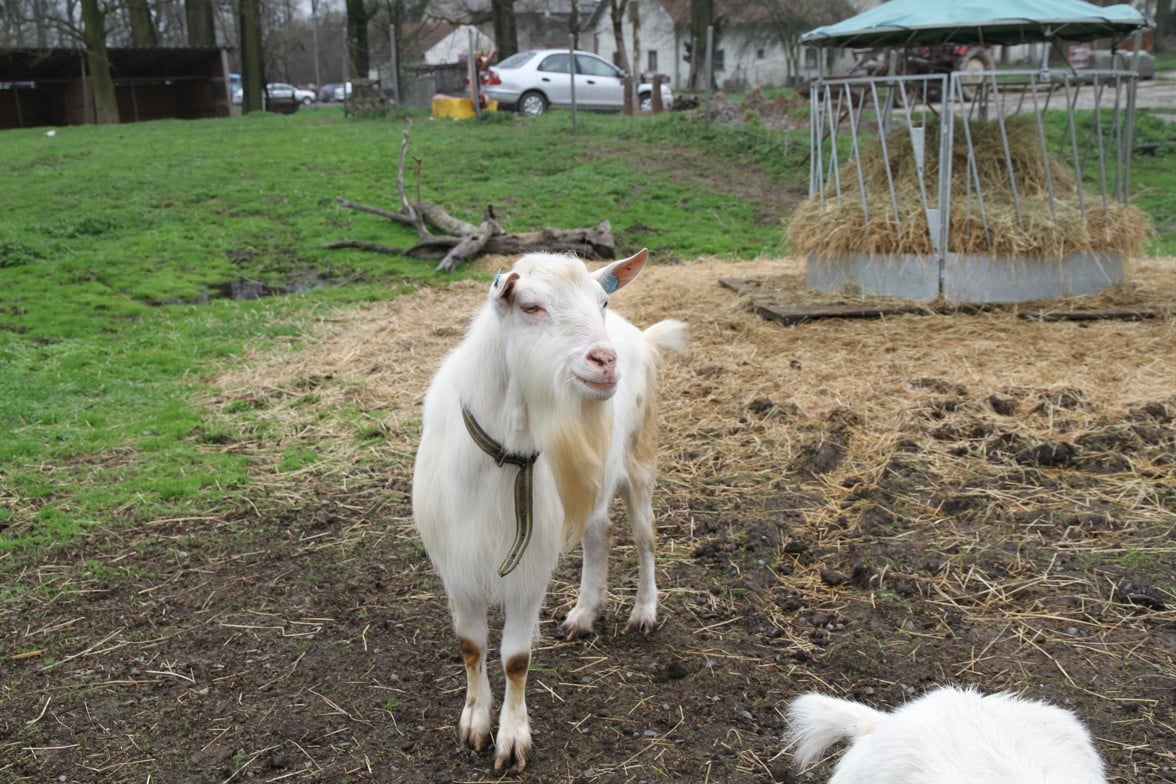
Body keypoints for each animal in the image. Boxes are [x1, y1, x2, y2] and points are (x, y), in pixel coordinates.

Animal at [416, 251, 686, 771]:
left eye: (602, 302)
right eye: (531, 306)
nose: (605, 360)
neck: (504, 459)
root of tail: (639, 336)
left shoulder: (529, 569)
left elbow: (515, 658)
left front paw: (512, 739)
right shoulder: (457, 565)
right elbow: (471, 646)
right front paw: (474, 723)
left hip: (639, 459)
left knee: (645, 535)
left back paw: (643, 611)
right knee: (599, 534)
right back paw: (583, 614)